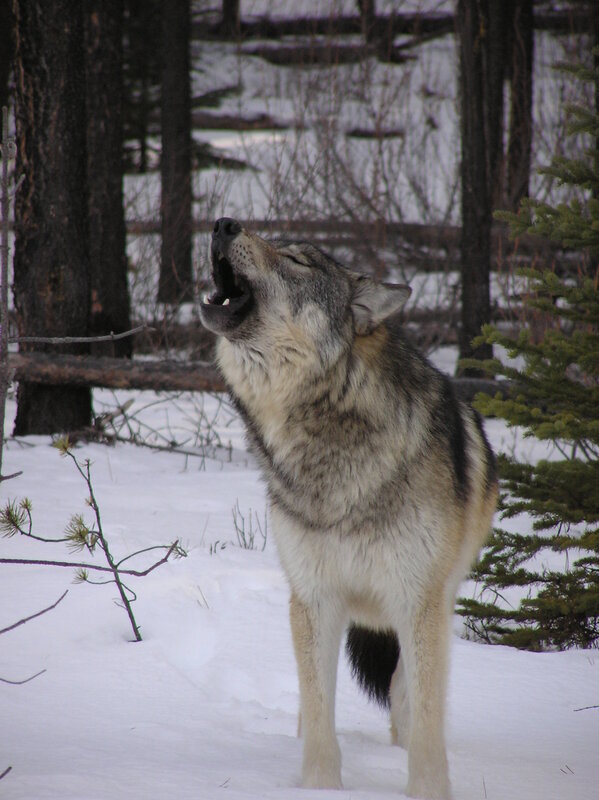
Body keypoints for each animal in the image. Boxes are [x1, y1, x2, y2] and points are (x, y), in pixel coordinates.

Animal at [200, 218, 498, 800]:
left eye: (296, 260)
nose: (223, 224)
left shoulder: (417, 600)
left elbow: (425, 718)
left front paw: (428, 789)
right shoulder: (314, 597)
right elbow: (319, 713)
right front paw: (319, 786)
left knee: (406, 693)